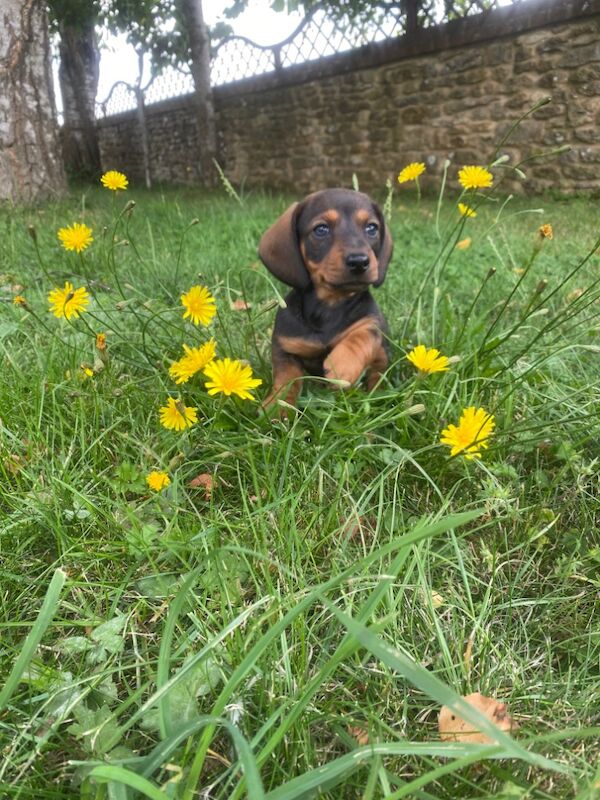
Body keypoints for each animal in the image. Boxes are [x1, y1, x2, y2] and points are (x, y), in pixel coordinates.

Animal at [258, 188, 394, 410]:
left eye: (372, 228)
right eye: (321, 229)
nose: (359, 261)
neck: (330, 305)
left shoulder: (372, 322)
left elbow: (362, 335)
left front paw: (342, 365)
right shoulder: (285, 347)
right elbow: (286, 378)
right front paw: (278, 406)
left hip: (382, 354)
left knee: (378, 371)